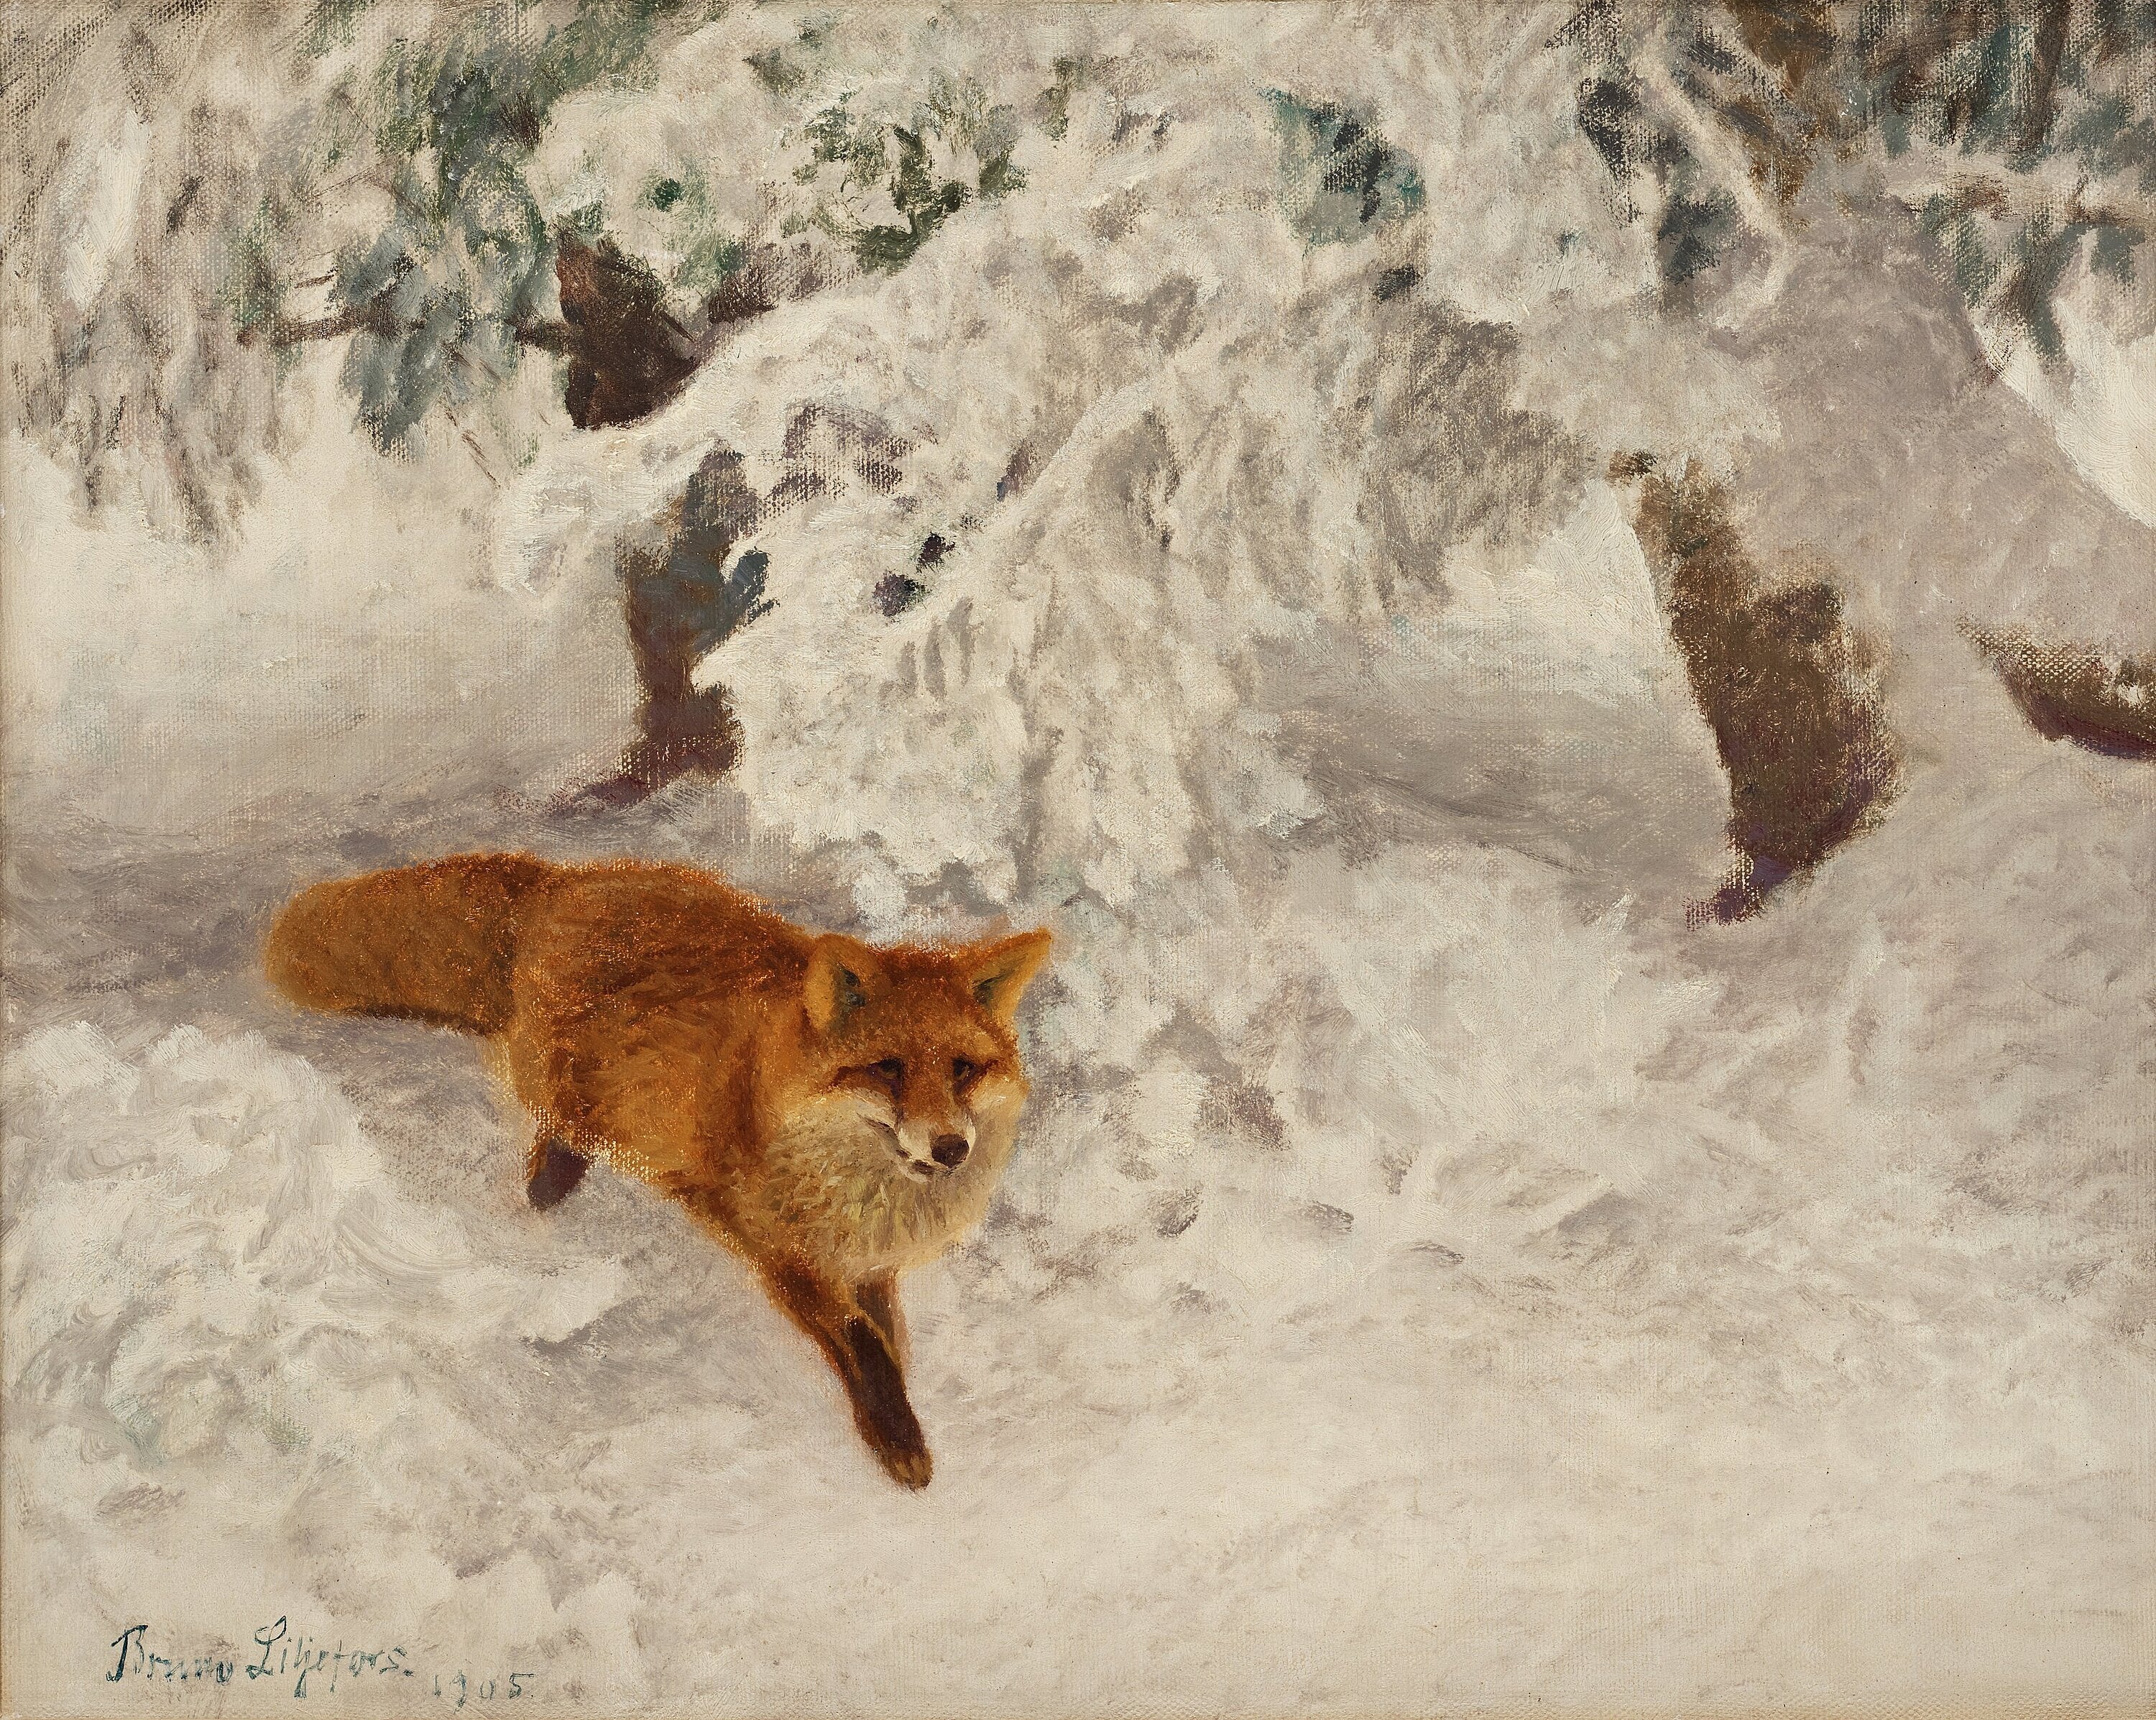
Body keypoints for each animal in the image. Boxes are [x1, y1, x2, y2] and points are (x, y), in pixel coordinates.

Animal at [263, 852, 1052, 1489]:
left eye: (964, 1069)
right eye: (887, 1068)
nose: (951, 1147)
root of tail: (566, 880)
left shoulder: (865, 1260)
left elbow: (888, 1340)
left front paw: (897, 1411)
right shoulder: (781, 1252)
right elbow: (863, 1347)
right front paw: (897, 1441)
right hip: (571, 1088)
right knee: (556, 1139)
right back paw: (546, 1199)